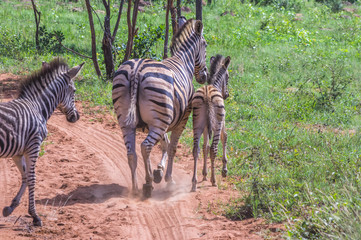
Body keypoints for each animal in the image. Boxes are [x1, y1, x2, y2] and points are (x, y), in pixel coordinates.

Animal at [0, 59, 83, 226]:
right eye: (74, 91)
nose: (76, 117)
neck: (37, 107)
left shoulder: (18, 152)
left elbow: (25, 176)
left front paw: (11, 207)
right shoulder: (34, 145)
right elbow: (32, 178)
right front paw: (35, 216)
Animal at [112, 19, 208, 198]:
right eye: (205, 45)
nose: (204, 76)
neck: (183, 61)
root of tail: (137, 69)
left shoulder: (163, 119)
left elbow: (165, 143)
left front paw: (159, 171)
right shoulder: (180, 119)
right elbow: (172, 147)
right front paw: (167, 178)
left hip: (128, 121)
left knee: (131, 153)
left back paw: (135, 188)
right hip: (158, 121)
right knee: (145, 147)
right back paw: (148, 184)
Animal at [191, 54, 231, 191]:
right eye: (228, 77)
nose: (226, 95)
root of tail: (207, 95)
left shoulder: (204, 127)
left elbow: (205, 147)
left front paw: (204, 174)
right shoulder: (222, 121)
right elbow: (224, 137)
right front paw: (224, 170)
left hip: (196, 123)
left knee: (196, 149)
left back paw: (194, 182)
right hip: (216, 124)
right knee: (214, 148)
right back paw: (213, 181)